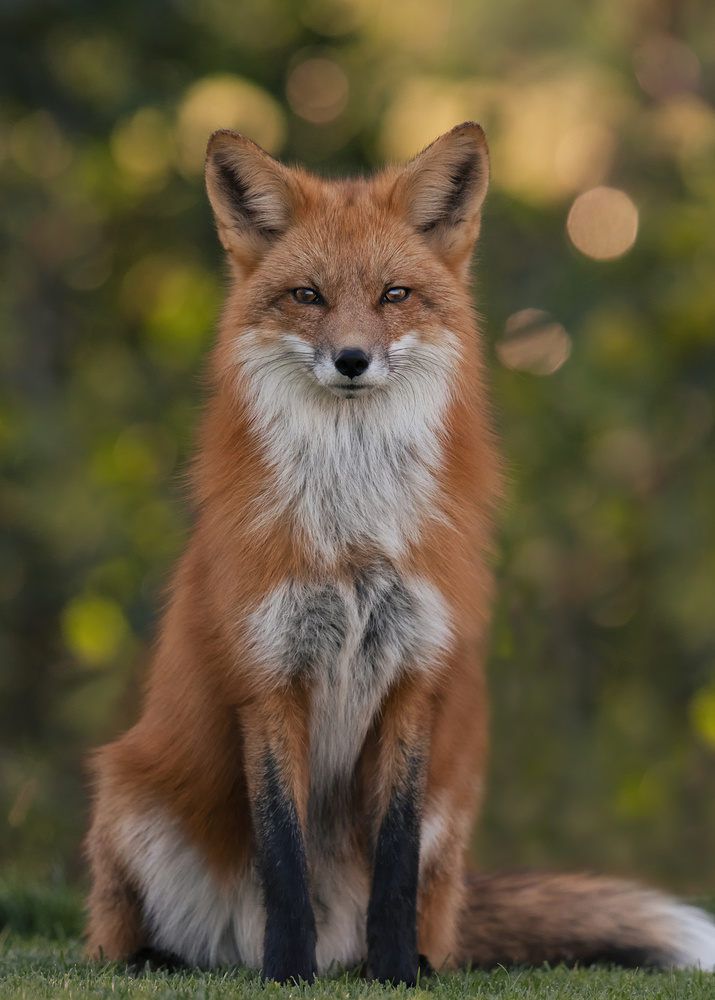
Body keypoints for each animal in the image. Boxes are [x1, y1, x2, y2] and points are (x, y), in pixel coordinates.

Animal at [85, 125, 715, 984]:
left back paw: (402, 960)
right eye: (307, 296)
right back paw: (174, 958)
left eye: (393, 295)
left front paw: (393, 972)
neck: (354, 533)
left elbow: (394, 857)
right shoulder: (268, 681)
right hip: (131, 794)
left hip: (453, 813)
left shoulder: (416, 675)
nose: (352, 359)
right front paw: (288, 972)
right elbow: (282, 858)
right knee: (127, 938)